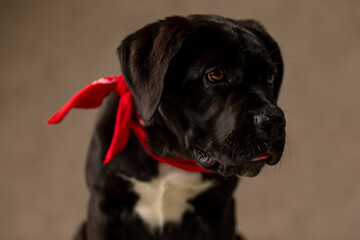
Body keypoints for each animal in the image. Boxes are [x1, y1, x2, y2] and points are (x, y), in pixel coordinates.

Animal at [74, 14, 286, 240]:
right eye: (216, 75)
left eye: (270, 77)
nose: (274, 120)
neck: (170, 153)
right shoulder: (104, 209)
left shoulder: (218, 212)